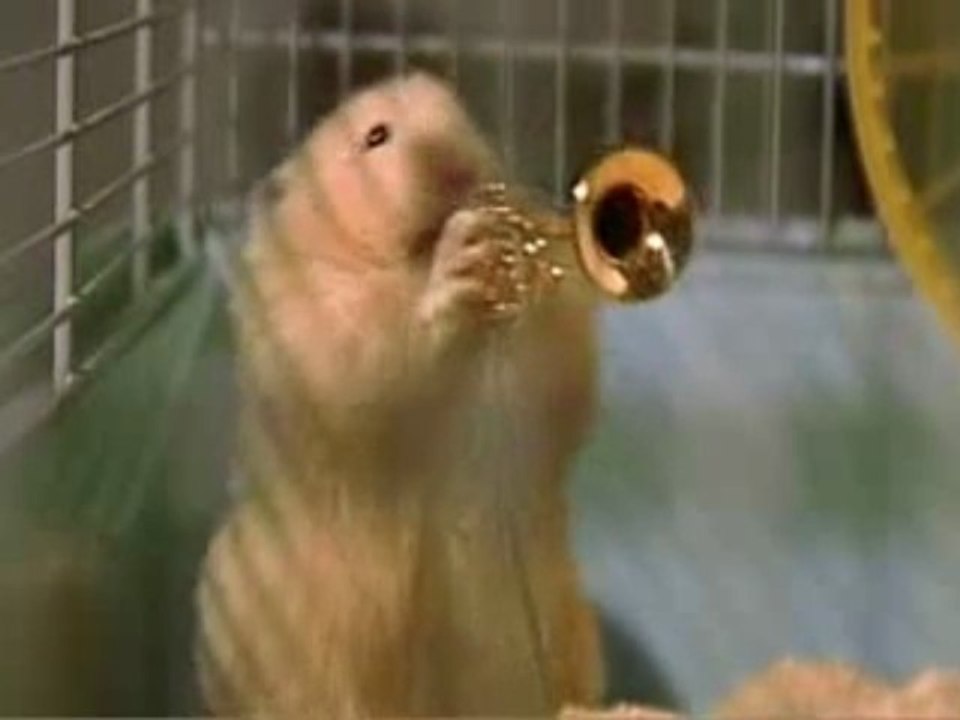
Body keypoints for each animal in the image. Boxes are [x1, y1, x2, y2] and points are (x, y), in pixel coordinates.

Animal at [195, 71, 603, 718]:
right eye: (376, 137)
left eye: (463, 112)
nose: (458, 168)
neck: (409, 255)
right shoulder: (322, 327)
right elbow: (380, 348)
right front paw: (463, 259)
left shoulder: (549, 370)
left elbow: (553, 359)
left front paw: (511, 247)